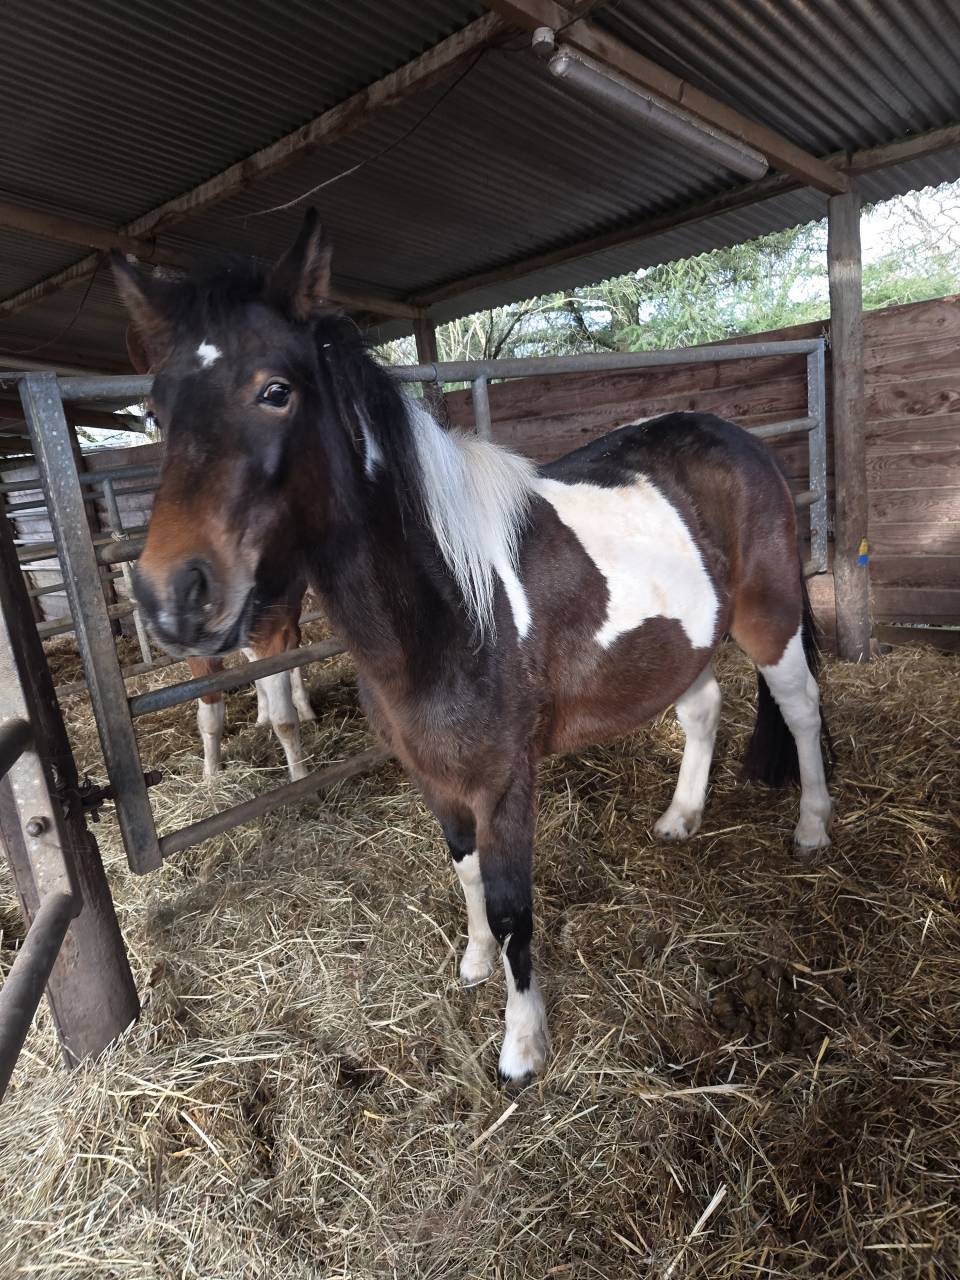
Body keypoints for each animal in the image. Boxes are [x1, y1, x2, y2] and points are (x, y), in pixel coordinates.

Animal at [126, 326, 315, 781]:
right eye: (155, 415)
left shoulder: (272, 631)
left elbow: (286, 718)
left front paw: (303, 779)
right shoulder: (199, 655)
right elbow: (209, 716)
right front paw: (211, 777)